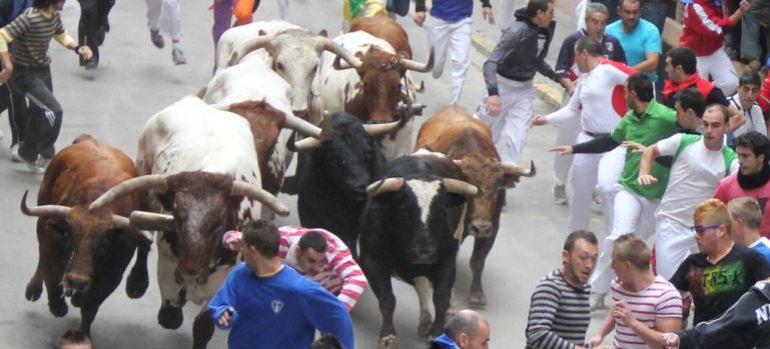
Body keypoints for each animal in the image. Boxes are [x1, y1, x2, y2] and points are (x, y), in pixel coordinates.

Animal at [21, 133, 150, 334]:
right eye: (70, 237)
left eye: (105, 243)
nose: (76, 280)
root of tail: (87, 139)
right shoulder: (52, 241)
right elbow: (51, 274)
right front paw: (57, 305)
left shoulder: (113, 273)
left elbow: (90, 307)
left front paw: (82, 333)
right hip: (42, 220)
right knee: (42, 259)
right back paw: (34, 290)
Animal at [414, 105, 536, 304]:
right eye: (469, 189)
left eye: (497, 190)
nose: (480, 227)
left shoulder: (492, 229)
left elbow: (478, 261)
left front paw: (477, 294)